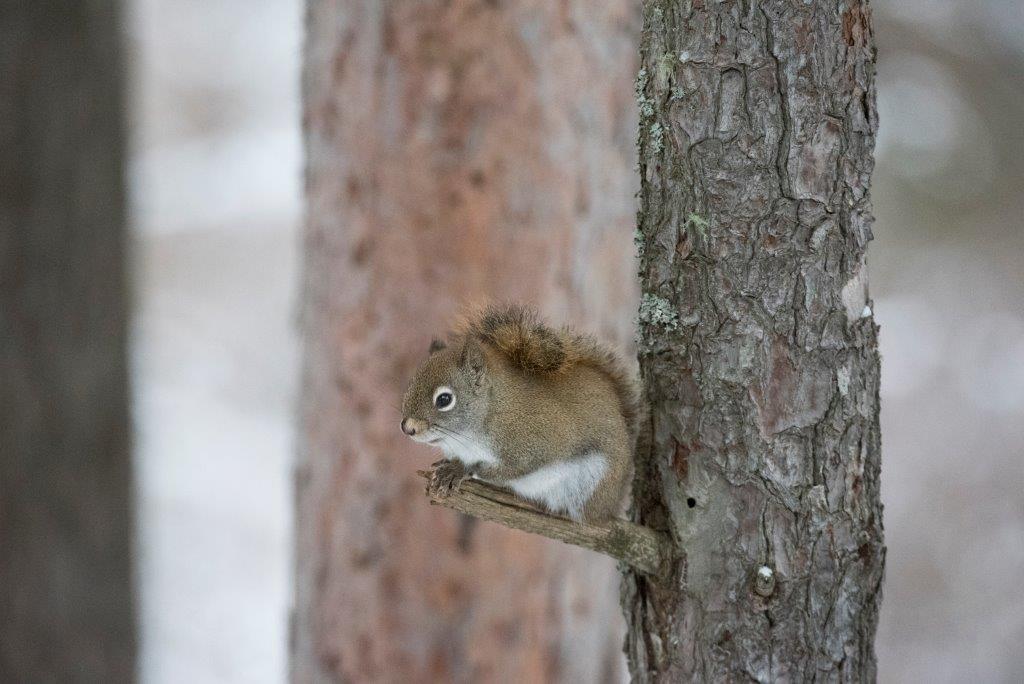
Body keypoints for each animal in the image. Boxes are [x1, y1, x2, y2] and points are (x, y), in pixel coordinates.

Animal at [400, 304, 641, 523]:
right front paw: (453, 466)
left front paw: (462, 470)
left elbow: (509, 469)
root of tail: (613, 502)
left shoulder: (533, 446)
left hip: (589, 483)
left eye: (444, 399)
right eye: (410, 385)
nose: (407, 428)